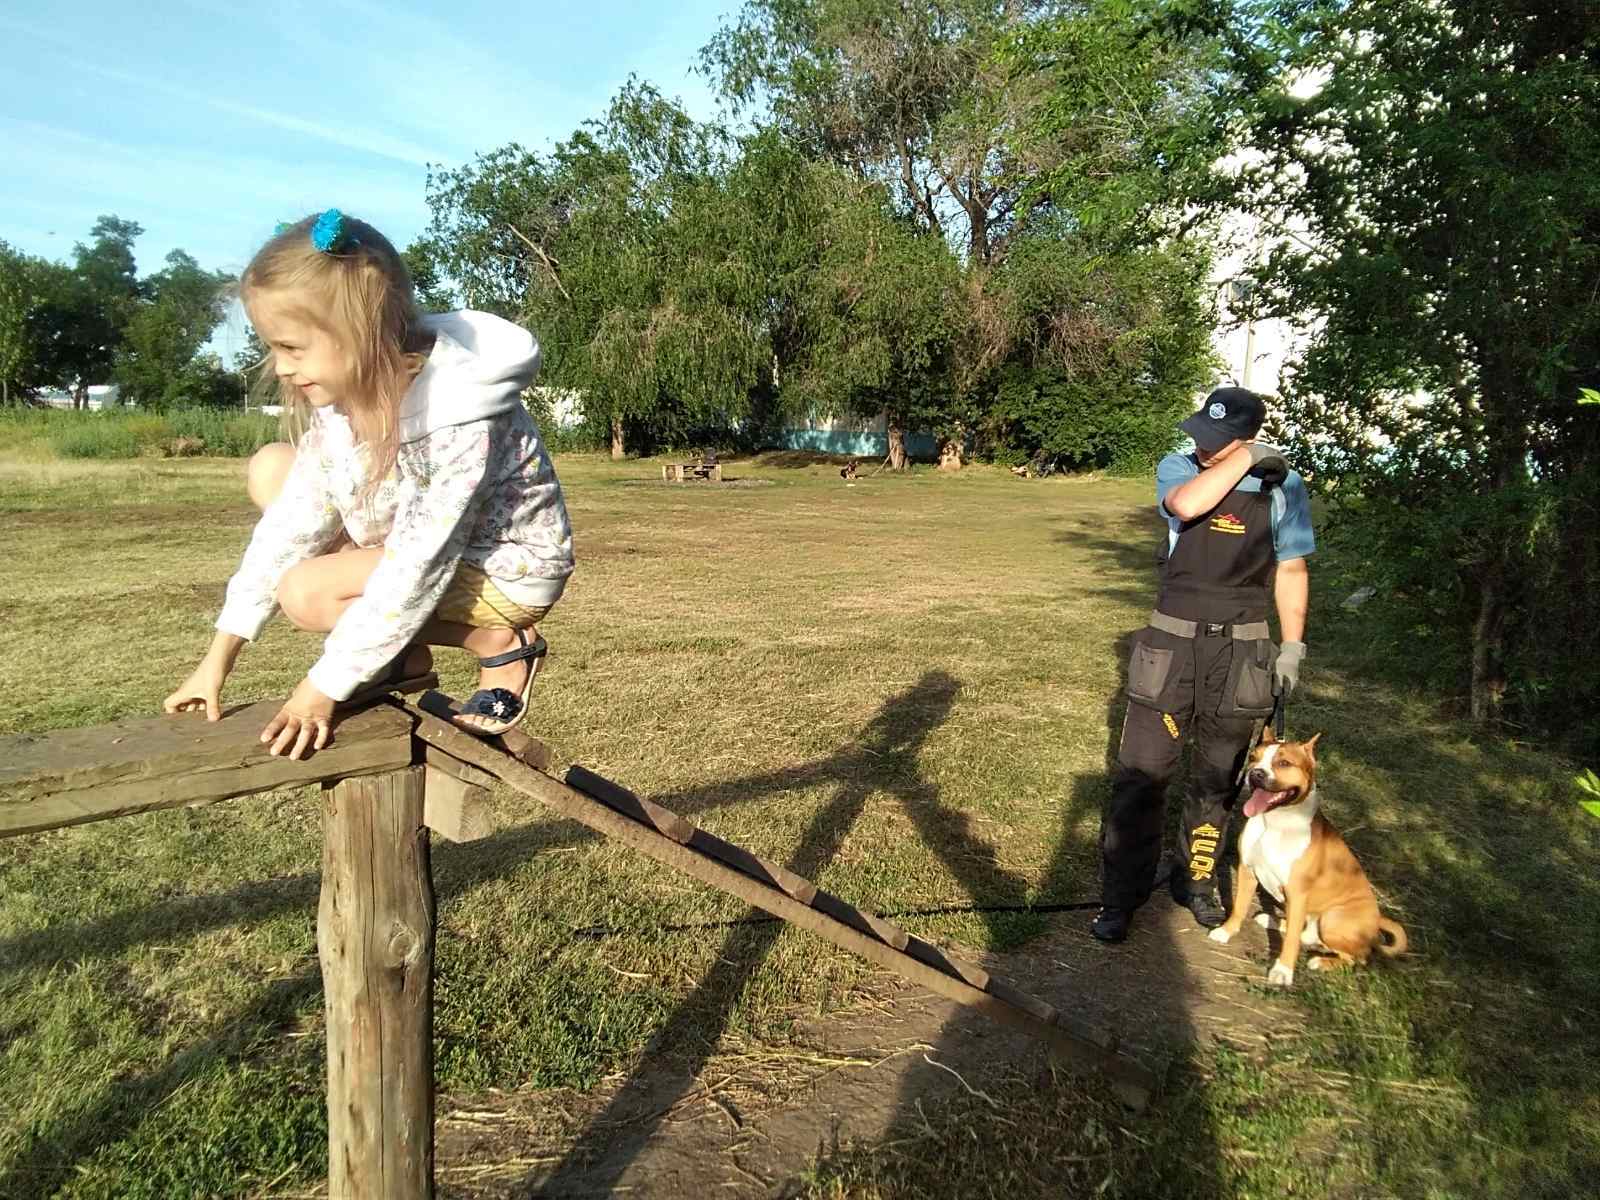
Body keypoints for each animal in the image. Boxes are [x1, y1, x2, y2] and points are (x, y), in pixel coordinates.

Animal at [1203, 732, 1408, 985]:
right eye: (1253, 758)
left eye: (1284, 763)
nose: (1256, 773)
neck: (1275, 822)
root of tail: (1377, 918)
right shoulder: (1247, 870)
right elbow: (1239, 907)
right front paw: (1226, 931)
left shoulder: (1297, 892)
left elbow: (1291, 940)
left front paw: (1283, 971)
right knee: (1306, 933)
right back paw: (1271, 920)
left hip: (1332, 919)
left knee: (1357, 957)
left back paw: (1322, 961)